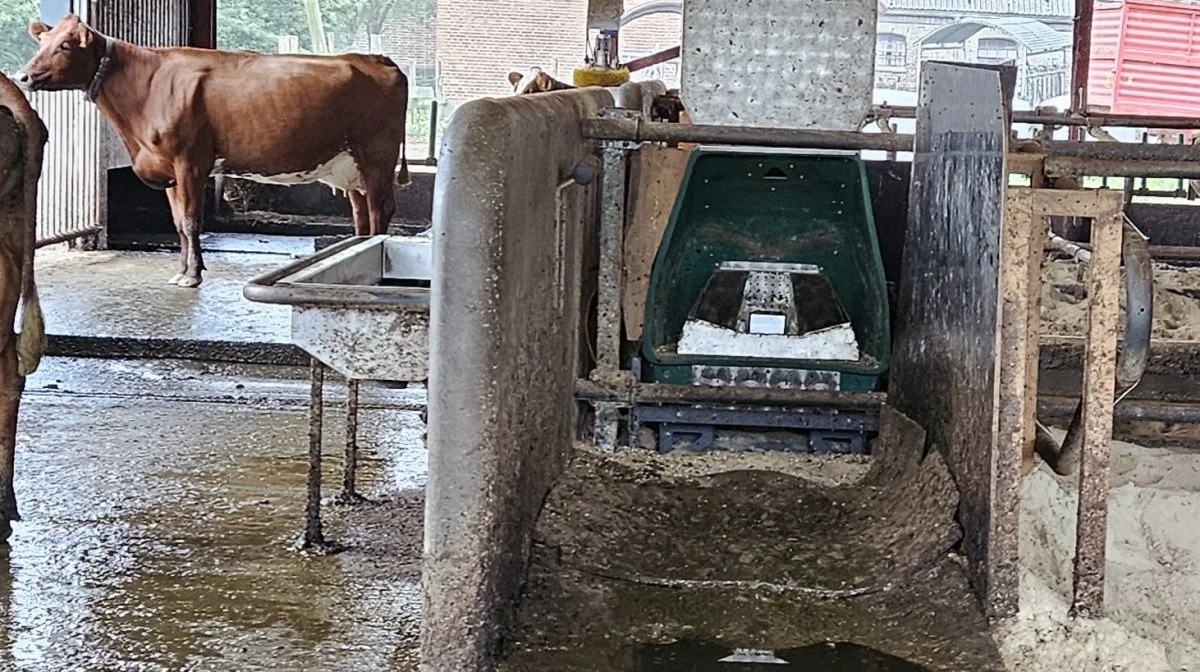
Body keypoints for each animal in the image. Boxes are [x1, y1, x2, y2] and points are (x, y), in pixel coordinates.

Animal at [15, 12, 412, 285]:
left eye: (65, 46)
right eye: (42, 43)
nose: (23, 76)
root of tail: (377, 58)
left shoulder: (190, 161)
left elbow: (192, 221)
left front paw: (193, 276)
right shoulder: (169, 170)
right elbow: (178, 223)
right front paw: (182, 270)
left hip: (376, 156)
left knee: (379, 211)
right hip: (350, 166)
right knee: (361, 215)